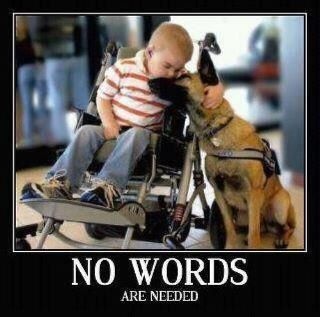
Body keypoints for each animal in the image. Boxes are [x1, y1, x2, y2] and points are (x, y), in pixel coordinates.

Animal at [149, 43, 296, 249]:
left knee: (286, 227)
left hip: (280, 206)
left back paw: (283, 238)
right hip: (243, 215)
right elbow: (229, 228)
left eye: (183, 77)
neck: (217, 131)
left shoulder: (253, 194)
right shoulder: (219, 194)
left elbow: (254, 235)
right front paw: (230, 246)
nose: (149, 81)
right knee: (255, 228)